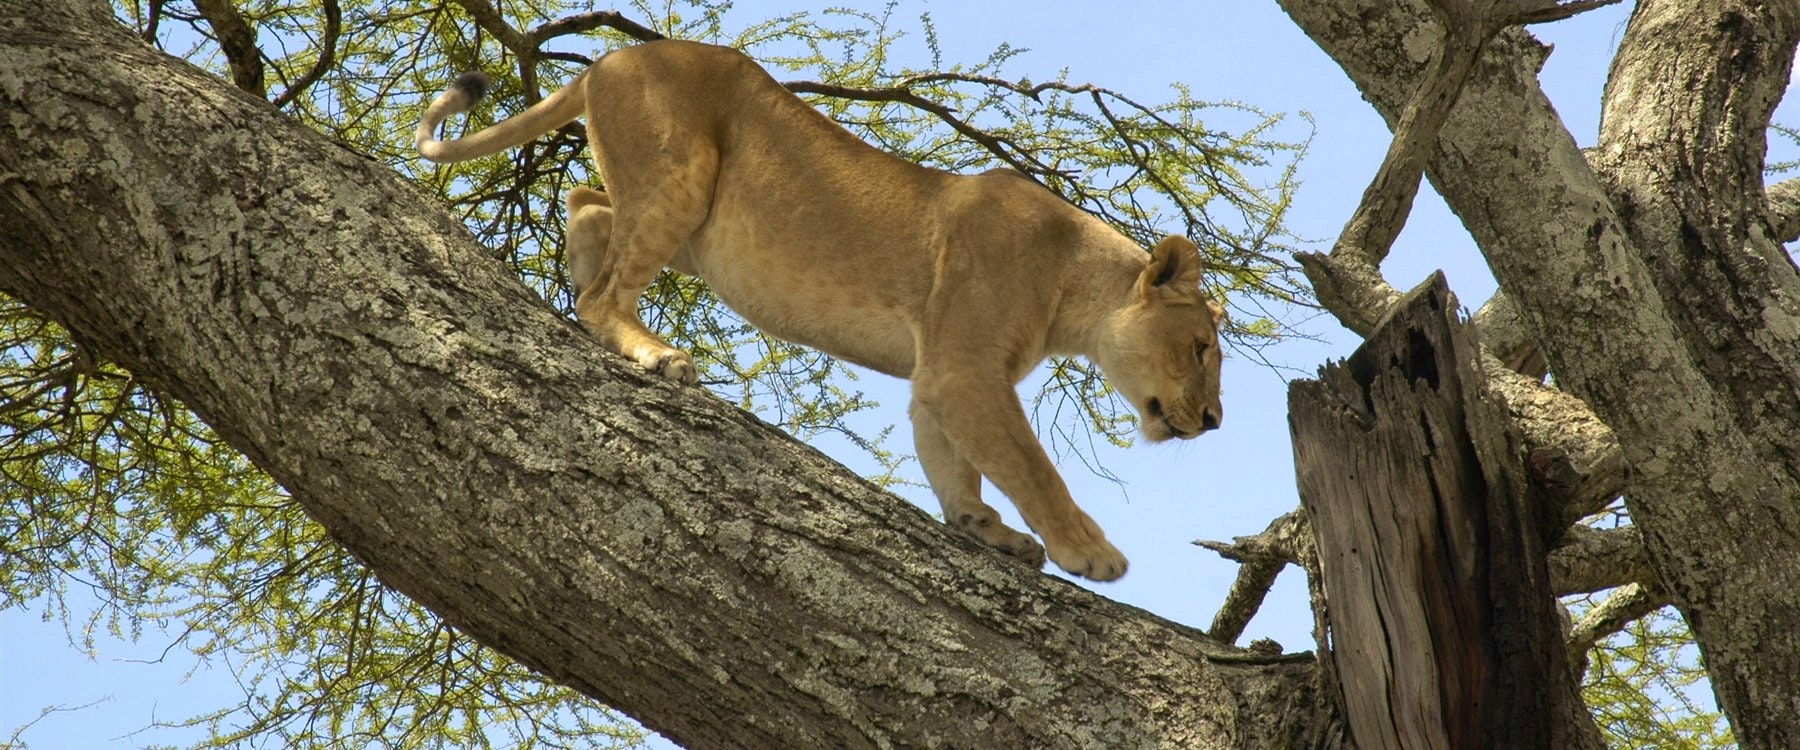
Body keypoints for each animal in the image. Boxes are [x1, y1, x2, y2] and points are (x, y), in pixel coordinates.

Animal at [417, 40, 1226, 581]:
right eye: (1201, 349)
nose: (1215, 422)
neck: (1074, 285)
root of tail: (611, 57)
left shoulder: (939, 374)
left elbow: (951, 461)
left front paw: (979, 527)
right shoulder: (966, 368)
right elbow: (1030, 466)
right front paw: (1088, 551)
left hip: (695, 227)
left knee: (587, 206)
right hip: (683, 177)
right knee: (602, 292)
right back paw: (656, 350)